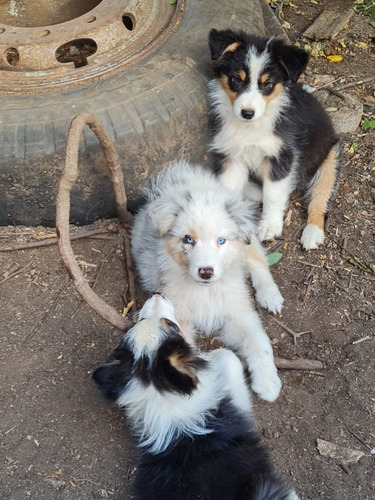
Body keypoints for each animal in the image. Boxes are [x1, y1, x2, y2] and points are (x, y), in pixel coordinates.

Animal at [131, 162, 284, 404]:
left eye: (220, 240)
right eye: (188, 239)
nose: (206, 272)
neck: (207, 291)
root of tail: (188, 177)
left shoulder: (237, 312)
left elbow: (259, 341)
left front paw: (268, 381)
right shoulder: (178, 320)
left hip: (248, 243)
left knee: (258, 260)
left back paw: (270, 295)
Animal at [209, 27, 344, 250]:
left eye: (267, 84)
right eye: (236, 80)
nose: (247, 113)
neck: (253, 126)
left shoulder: (282, 156)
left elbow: (273, 194)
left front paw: (269, 226)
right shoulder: (231, 157)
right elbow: (229, 191)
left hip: (331, 157)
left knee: (321, 197)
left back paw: (312, 232)